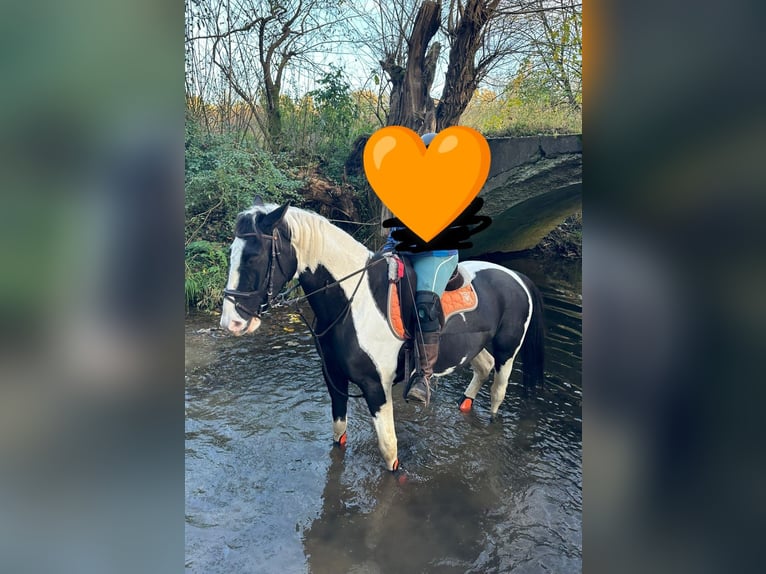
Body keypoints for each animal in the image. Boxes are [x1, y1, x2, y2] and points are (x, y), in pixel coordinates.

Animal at [219, 201, 545, 471]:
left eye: (253, 257)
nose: (231, 322)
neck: (355, 303)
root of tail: (516, 277)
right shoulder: (334, 379)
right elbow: (339, 436)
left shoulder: (377, 387)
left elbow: (389, 449)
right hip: (471, 346)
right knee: (483, 367)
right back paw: (464, 404)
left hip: (508, 352)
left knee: (498, 392)